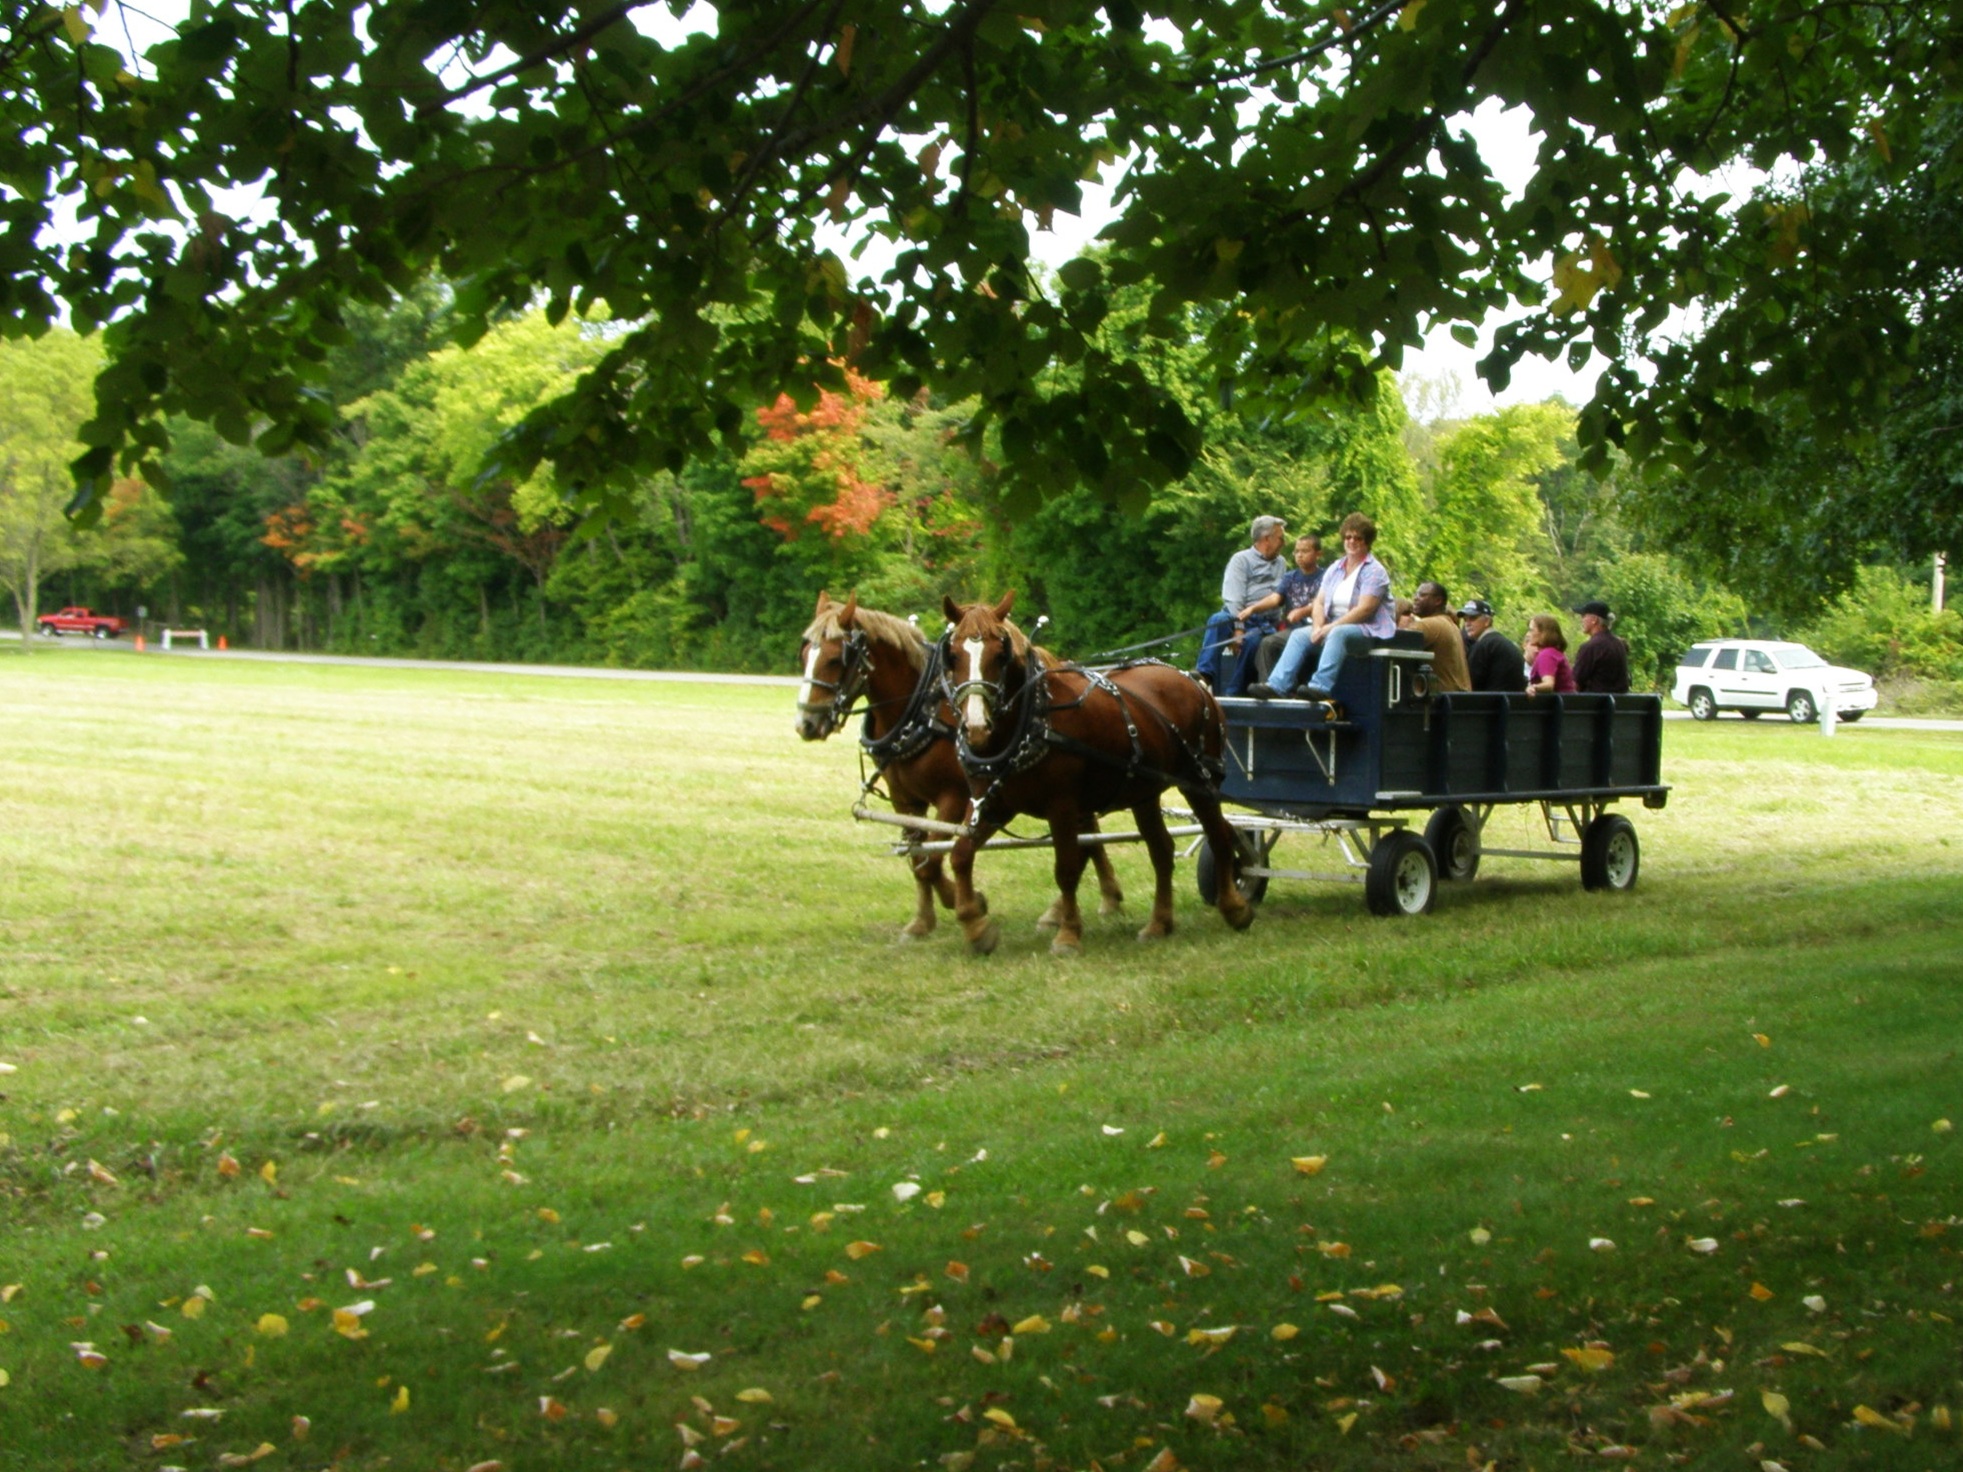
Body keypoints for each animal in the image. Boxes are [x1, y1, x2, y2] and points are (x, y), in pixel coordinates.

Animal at [789, 592, 1114, 946]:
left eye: (836, 659)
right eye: (804, 654)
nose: (806, 723)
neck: (920, 711)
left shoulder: (955, 799)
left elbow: (933, 859)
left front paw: (968, 904)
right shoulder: (905, 800)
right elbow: (918, 859)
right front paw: (922, 921)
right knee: (1087, 834)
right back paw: (1098, 899)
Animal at [938, 592, 1248, 957]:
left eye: (1000, 655)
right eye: (952, 655)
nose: (976, 726)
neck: (1033, 720)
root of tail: (1192, 680)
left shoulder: (1062, 807)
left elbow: (1067, 869)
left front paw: (1068, 934)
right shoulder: (990, 804)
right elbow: (960, 855)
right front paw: (976, 927)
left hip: (1200, 781)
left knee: (1219, 836)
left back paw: (1235, 908)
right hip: (1144, 791)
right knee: (1161, 850)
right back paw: (1159, 923)